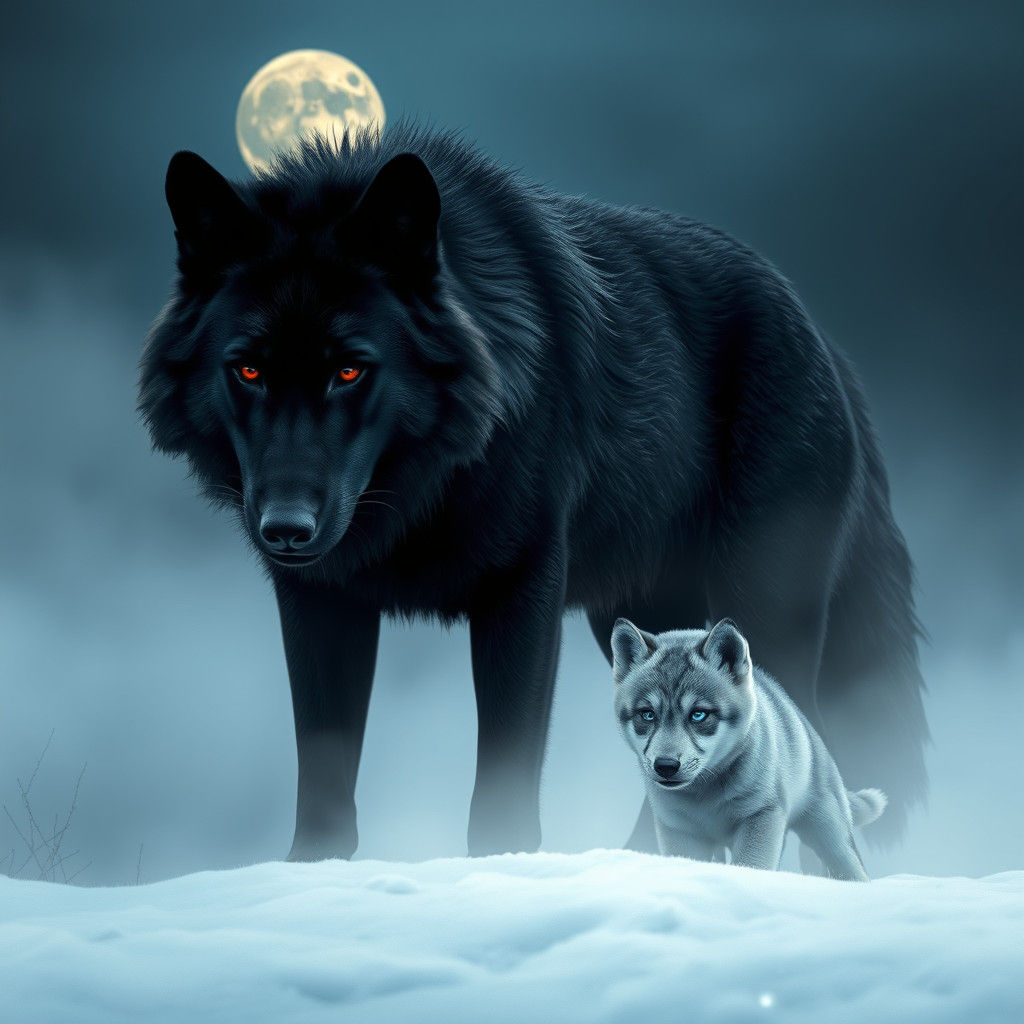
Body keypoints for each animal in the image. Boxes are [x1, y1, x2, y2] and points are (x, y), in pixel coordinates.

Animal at [613, 617, 886, 879]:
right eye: (647, 714)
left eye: (699, 714)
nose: (666, 765)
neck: (705, 796)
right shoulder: (679, 830)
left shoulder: (761, 815)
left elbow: (752, 865)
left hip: (829, 829)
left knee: (849, 866)